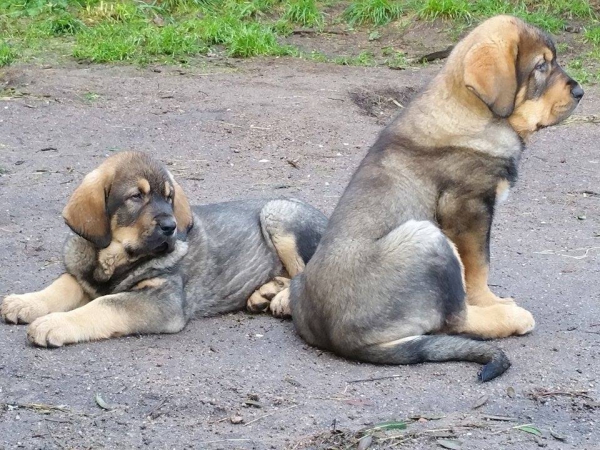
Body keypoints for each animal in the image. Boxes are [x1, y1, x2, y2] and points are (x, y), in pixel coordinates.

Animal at [1, 152, 328, 348]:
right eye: (136, 197)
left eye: (169, 198)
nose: (171, 226)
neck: (115, 259)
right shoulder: (83, 275)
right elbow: (60, 287)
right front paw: (24, 302)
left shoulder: (163, 300)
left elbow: (104, 305)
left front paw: (54, 323)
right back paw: (266, 292)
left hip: (278, 212)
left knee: (306, 273)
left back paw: (282, 298)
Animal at [288, 15, 584, 382]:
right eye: (541, 66)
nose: (581, 92)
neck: (472, 114)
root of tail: (343, 339)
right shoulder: (468, 210)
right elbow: (478, 268)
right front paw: (491, 302)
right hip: (427, 237)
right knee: (455, 320)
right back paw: (510, 318)